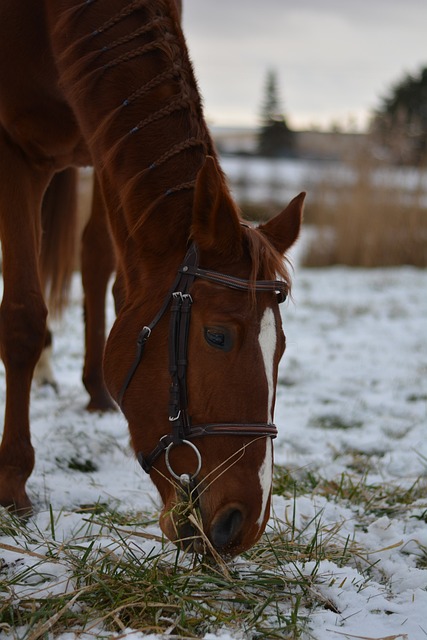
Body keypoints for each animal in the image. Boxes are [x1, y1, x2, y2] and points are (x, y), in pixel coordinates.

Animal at [0, 0, 304, 556]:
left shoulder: (104, 147)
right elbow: (23, 317)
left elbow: (110, 275)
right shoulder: (14, 153)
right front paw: (12, 480)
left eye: (282, 348)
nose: (243, 524)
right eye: (216, 336)